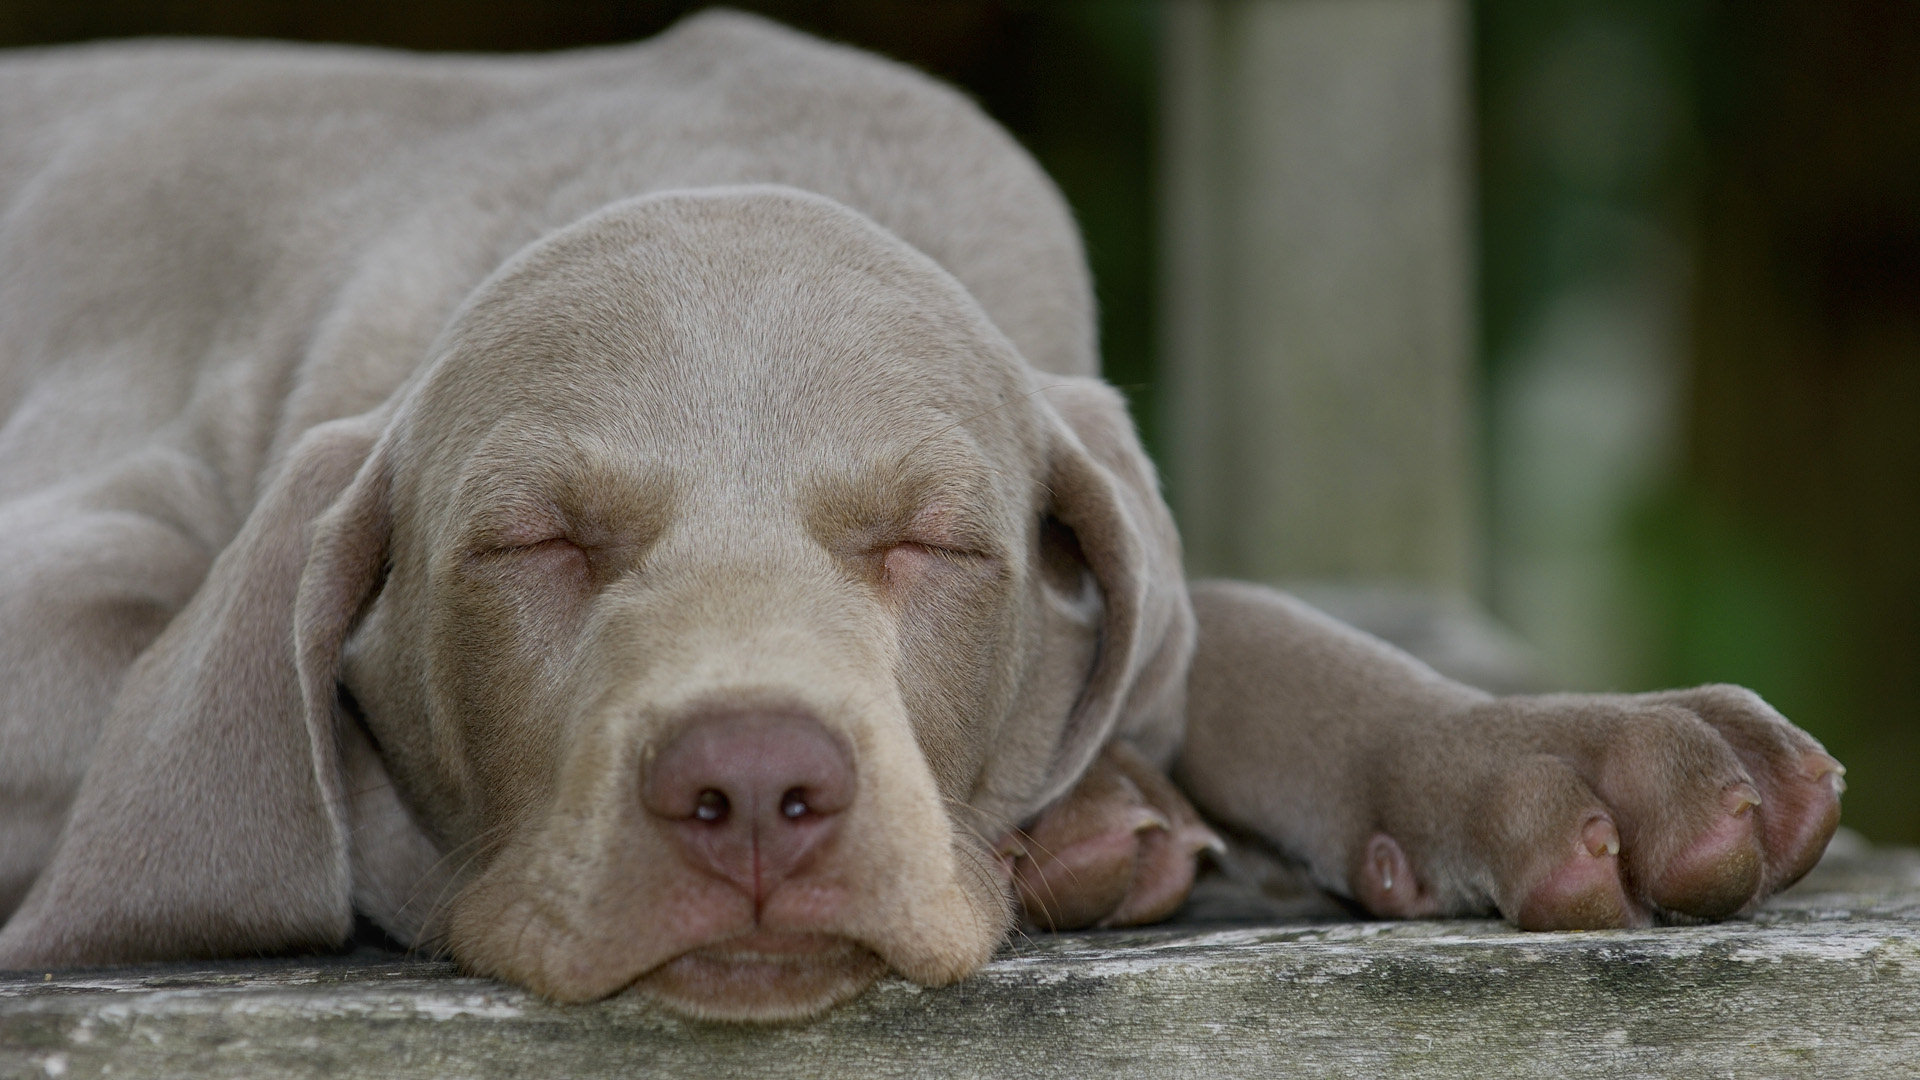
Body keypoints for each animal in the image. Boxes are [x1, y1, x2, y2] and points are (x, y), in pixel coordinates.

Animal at [0, 10, 1835, 1014]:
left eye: (932, 543)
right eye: (538, 543)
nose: (750, 789)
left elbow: (1233, 622)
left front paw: (1564, 757)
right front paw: (1098, 805)